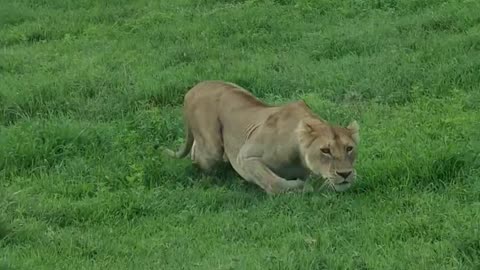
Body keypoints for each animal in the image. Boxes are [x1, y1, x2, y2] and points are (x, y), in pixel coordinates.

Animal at [163, 80, 358, 194]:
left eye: (349, 148)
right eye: (325, 150)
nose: (345, 173)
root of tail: (193, 89)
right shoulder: (245, 156)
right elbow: (273, 182)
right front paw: (302, 187)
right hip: (212, 148)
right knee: (200, 156)